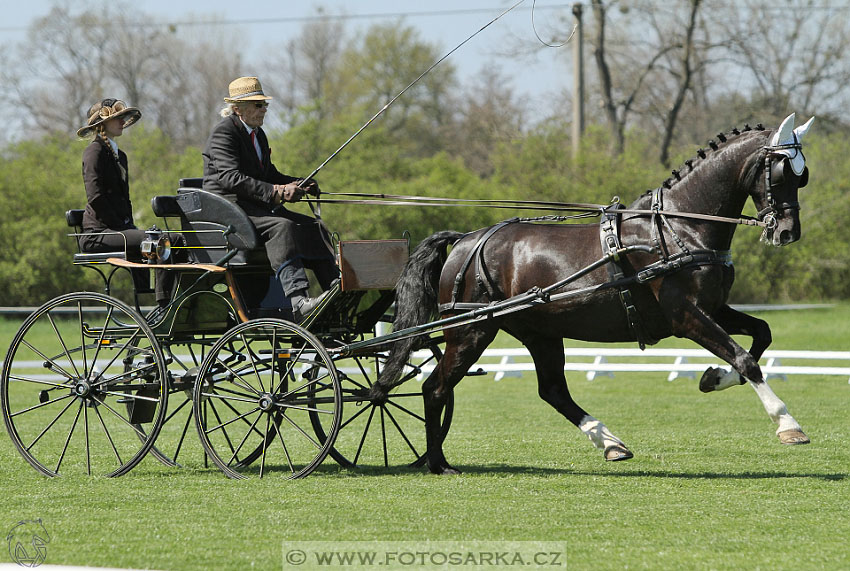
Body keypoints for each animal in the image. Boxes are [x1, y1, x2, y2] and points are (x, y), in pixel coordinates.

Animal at [374, 111, 812, 474]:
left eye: (802, 175)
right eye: (780, 173)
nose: (787, 232)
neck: (678, 227)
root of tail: (466, 240)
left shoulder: (713, 307)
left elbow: (761, 336)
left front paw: (713, 378)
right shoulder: (685, 316)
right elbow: (744, 358)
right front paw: (788, 424)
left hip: (539, 332)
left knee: (551, 391)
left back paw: (610, 443)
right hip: (472, 331)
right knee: (435, 388)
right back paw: (438, 463)